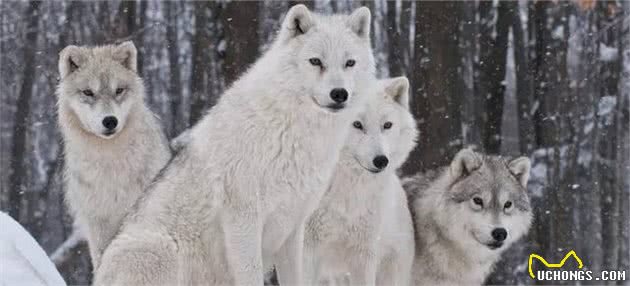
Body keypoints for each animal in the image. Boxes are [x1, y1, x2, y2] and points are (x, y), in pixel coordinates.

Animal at [96, 5, 378, 286]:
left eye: (349, 63)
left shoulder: (293, 227)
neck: (291, 130)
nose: (339, 94)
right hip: (160, 249)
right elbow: (250, 273)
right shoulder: (244, 219)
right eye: (316, 61)